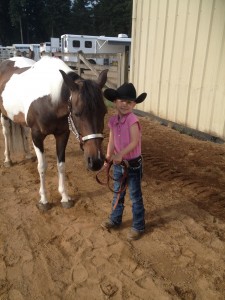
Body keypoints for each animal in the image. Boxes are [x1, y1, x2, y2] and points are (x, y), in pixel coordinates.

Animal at [0, 56, 107, 211]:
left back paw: (28, 154)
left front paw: (65, 197)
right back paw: (8, 159)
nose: (96, 161)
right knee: (6, 133)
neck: (50, 100)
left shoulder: (62, 134)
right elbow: (42, 167)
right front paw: (44, 200)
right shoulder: (37, 136)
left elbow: (61, 165)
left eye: (104, 112)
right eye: (77, 113)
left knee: (24, 132)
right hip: (4, 115)